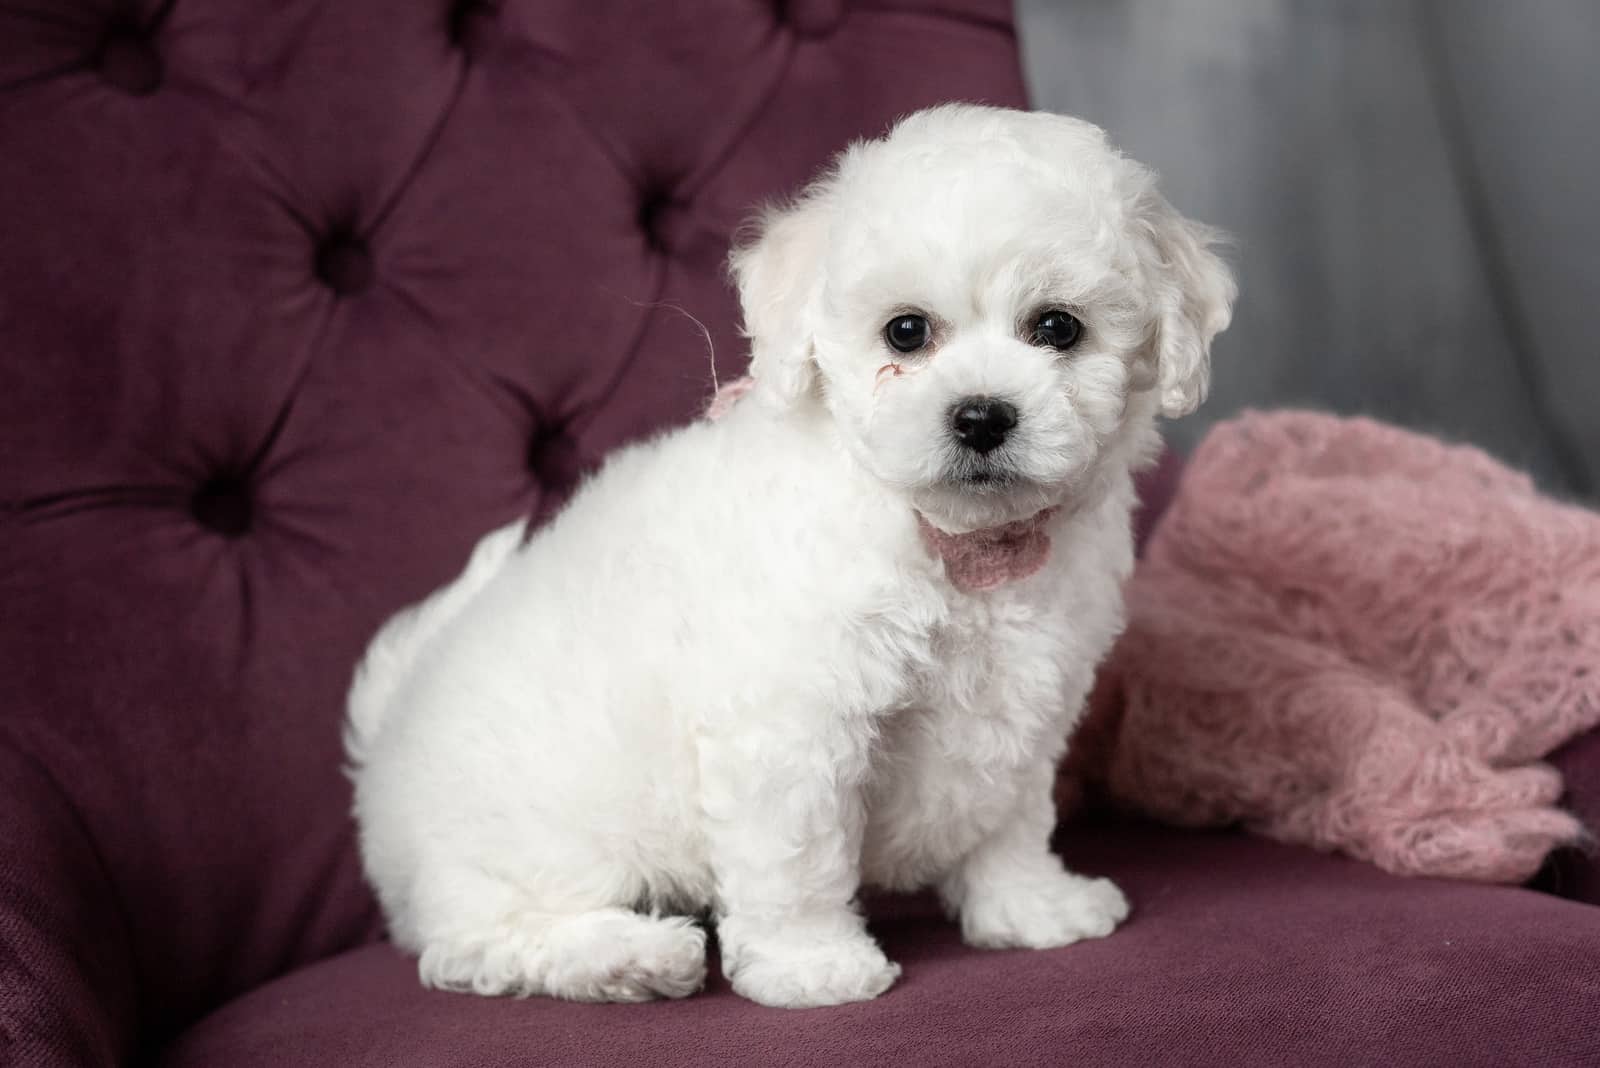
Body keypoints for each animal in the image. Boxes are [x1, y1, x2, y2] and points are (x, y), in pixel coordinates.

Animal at [344, 106, 1228, 1010]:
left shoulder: (1027, 700)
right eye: (906, 331)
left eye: (1058, 327)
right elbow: (797, 858)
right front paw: (812, 966)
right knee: (478, 943)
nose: (981, 416)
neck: (950, 539)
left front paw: (1032, 907)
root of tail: (386, 745)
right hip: (527, 846)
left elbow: (1009, 814)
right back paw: (634, 957)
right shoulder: (794, 721)